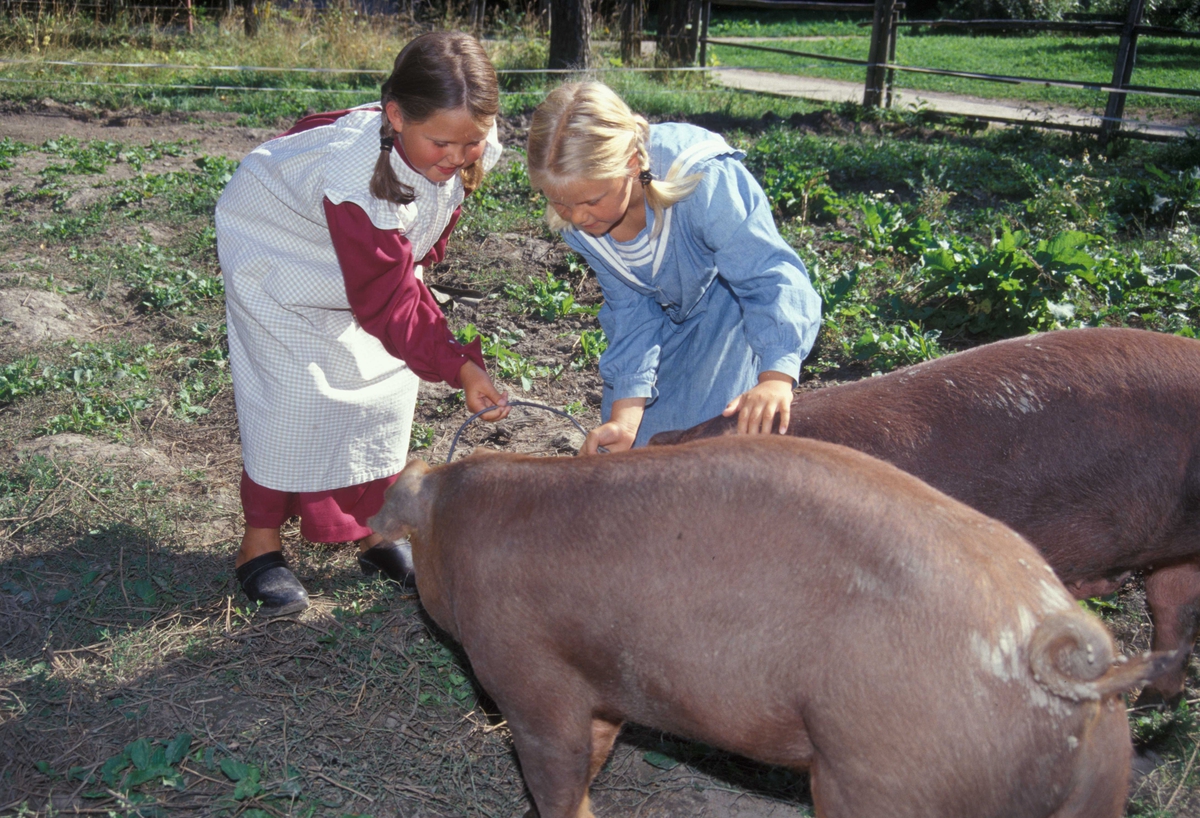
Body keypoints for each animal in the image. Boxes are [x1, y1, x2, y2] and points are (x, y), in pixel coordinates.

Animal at [369, 436, 1166, 810]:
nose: (388, 559)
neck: (461, 524)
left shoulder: (528, 676)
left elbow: (557, 774)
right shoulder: (602, 684)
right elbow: (597, 750)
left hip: (891, 777)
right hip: (1101, 784)